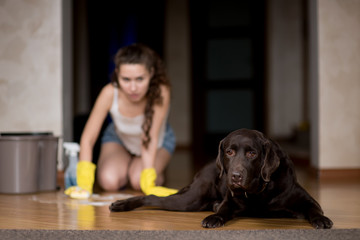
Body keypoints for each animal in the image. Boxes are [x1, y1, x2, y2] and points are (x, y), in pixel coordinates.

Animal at [108, 129, 334, 229]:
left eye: (252, 154)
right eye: (229, 152)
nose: (235, 176)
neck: (260, 192)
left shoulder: (305, 200)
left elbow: (314, 208)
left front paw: (321, 220)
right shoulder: (231, 200)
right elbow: (224, 209)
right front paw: (215, 217)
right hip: (190, 200)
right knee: (152, 197)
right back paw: (121, 204)